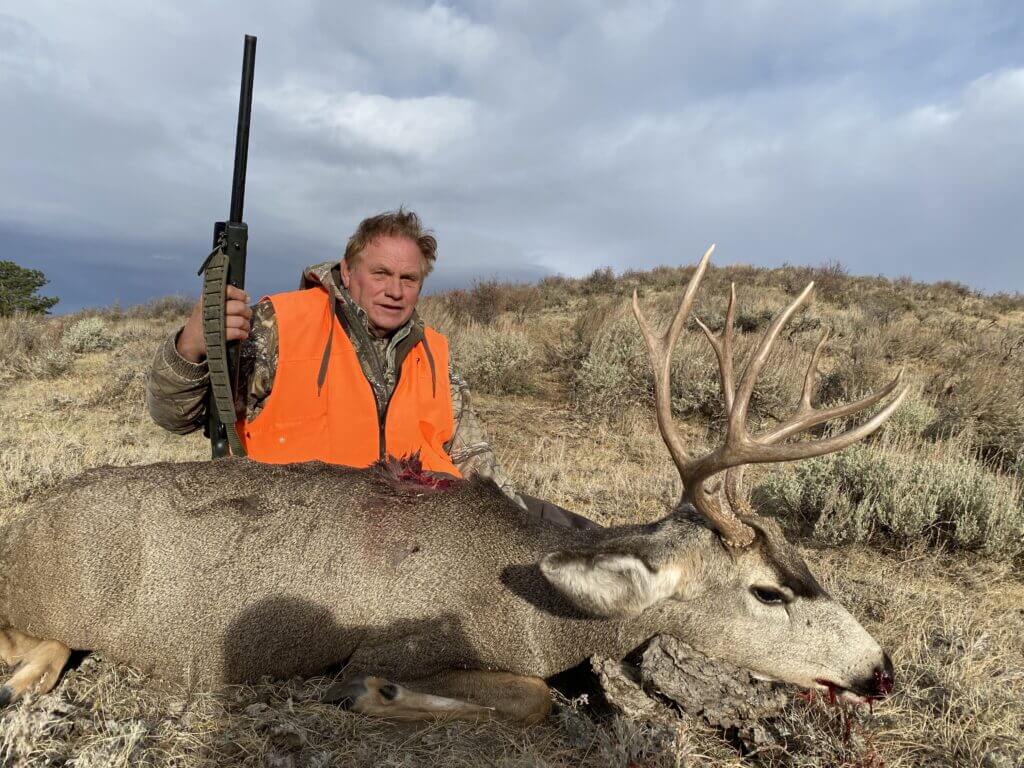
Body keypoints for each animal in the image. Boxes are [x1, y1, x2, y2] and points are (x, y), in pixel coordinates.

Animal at [0, 247, 906, 724]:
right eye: (767, 592)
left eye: (808, 565)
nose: (881, 671)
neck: (534, 610)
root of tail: (21, 526)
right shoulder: (399, 641)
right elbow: (528, 698)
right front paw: (380, 693)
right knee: (41, 646)